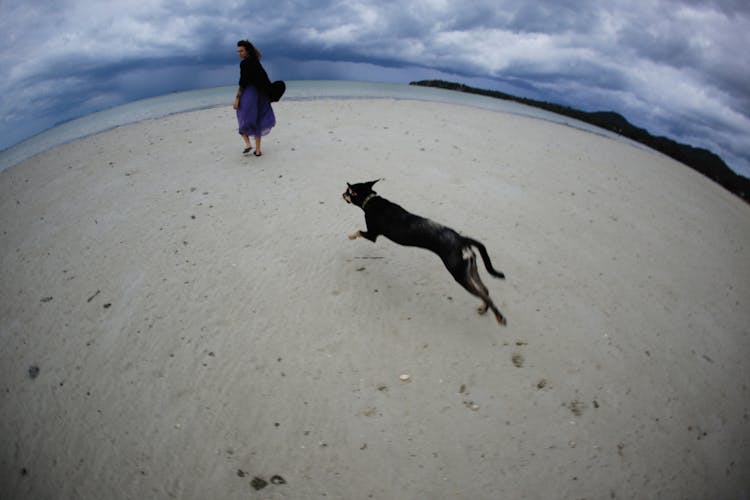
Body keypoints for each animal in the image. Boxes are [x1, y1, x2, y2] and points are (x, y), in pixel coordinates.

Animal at [344, 182, 508, 326]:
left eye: (347, 191)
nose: (341, 194)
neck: (371, 201)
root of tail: (461, 239)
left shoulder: (372, 235)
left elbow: (358, 231)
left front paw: (351, 236)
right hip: (469, 270)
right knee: (485, 291)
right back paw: (484, 309)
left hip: (459, 274)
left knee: (484, 295)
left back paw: (500, 318)